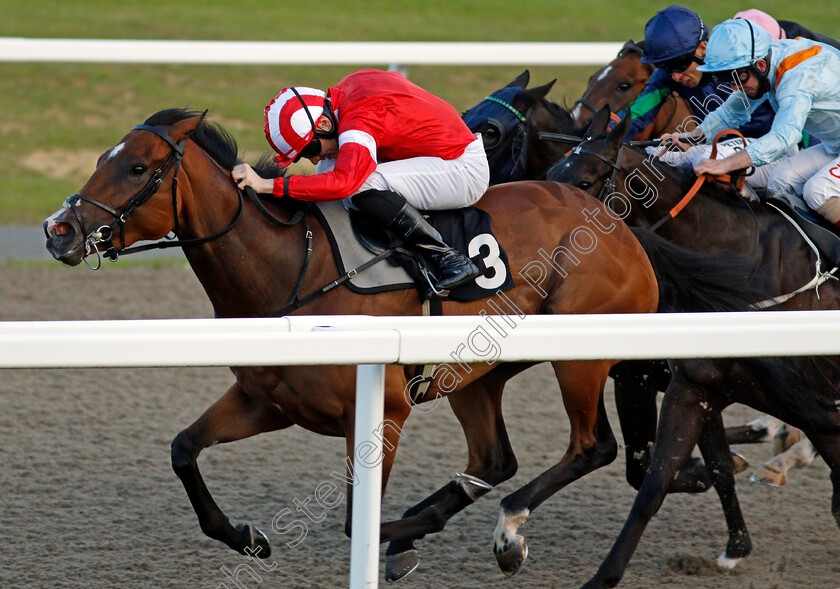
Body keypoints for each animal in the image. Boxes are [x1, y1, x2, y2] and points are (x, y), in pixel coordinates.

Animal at [39, 108, 784, 580]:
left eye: (137, 168)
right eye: (105, 159)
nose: (57, 230)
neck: (289, 267)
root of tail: (617, 221)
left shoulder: (381, 409)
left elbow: (352, 520)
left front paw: (389, 541)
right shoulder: (265, 400)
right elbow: (184, 449)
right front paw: (247, 537)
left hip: (581, 355)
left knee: (590, 446)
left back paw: (508, 531)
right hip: (478, 374)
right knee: (495, 457)